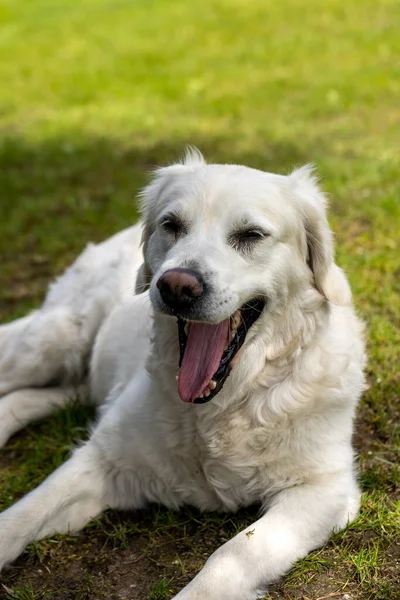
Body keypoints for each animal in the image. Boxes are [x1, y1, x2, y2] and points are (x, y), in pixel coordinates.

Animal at [0, 151, 366, 600]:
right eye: (171, 225)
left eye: (251, 234)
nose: (176, 286)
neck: (221, 407)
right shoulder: (103, 459)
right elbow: (23, 513)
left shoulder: (323, 489)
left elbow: (232, 554)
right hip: (52, 341)